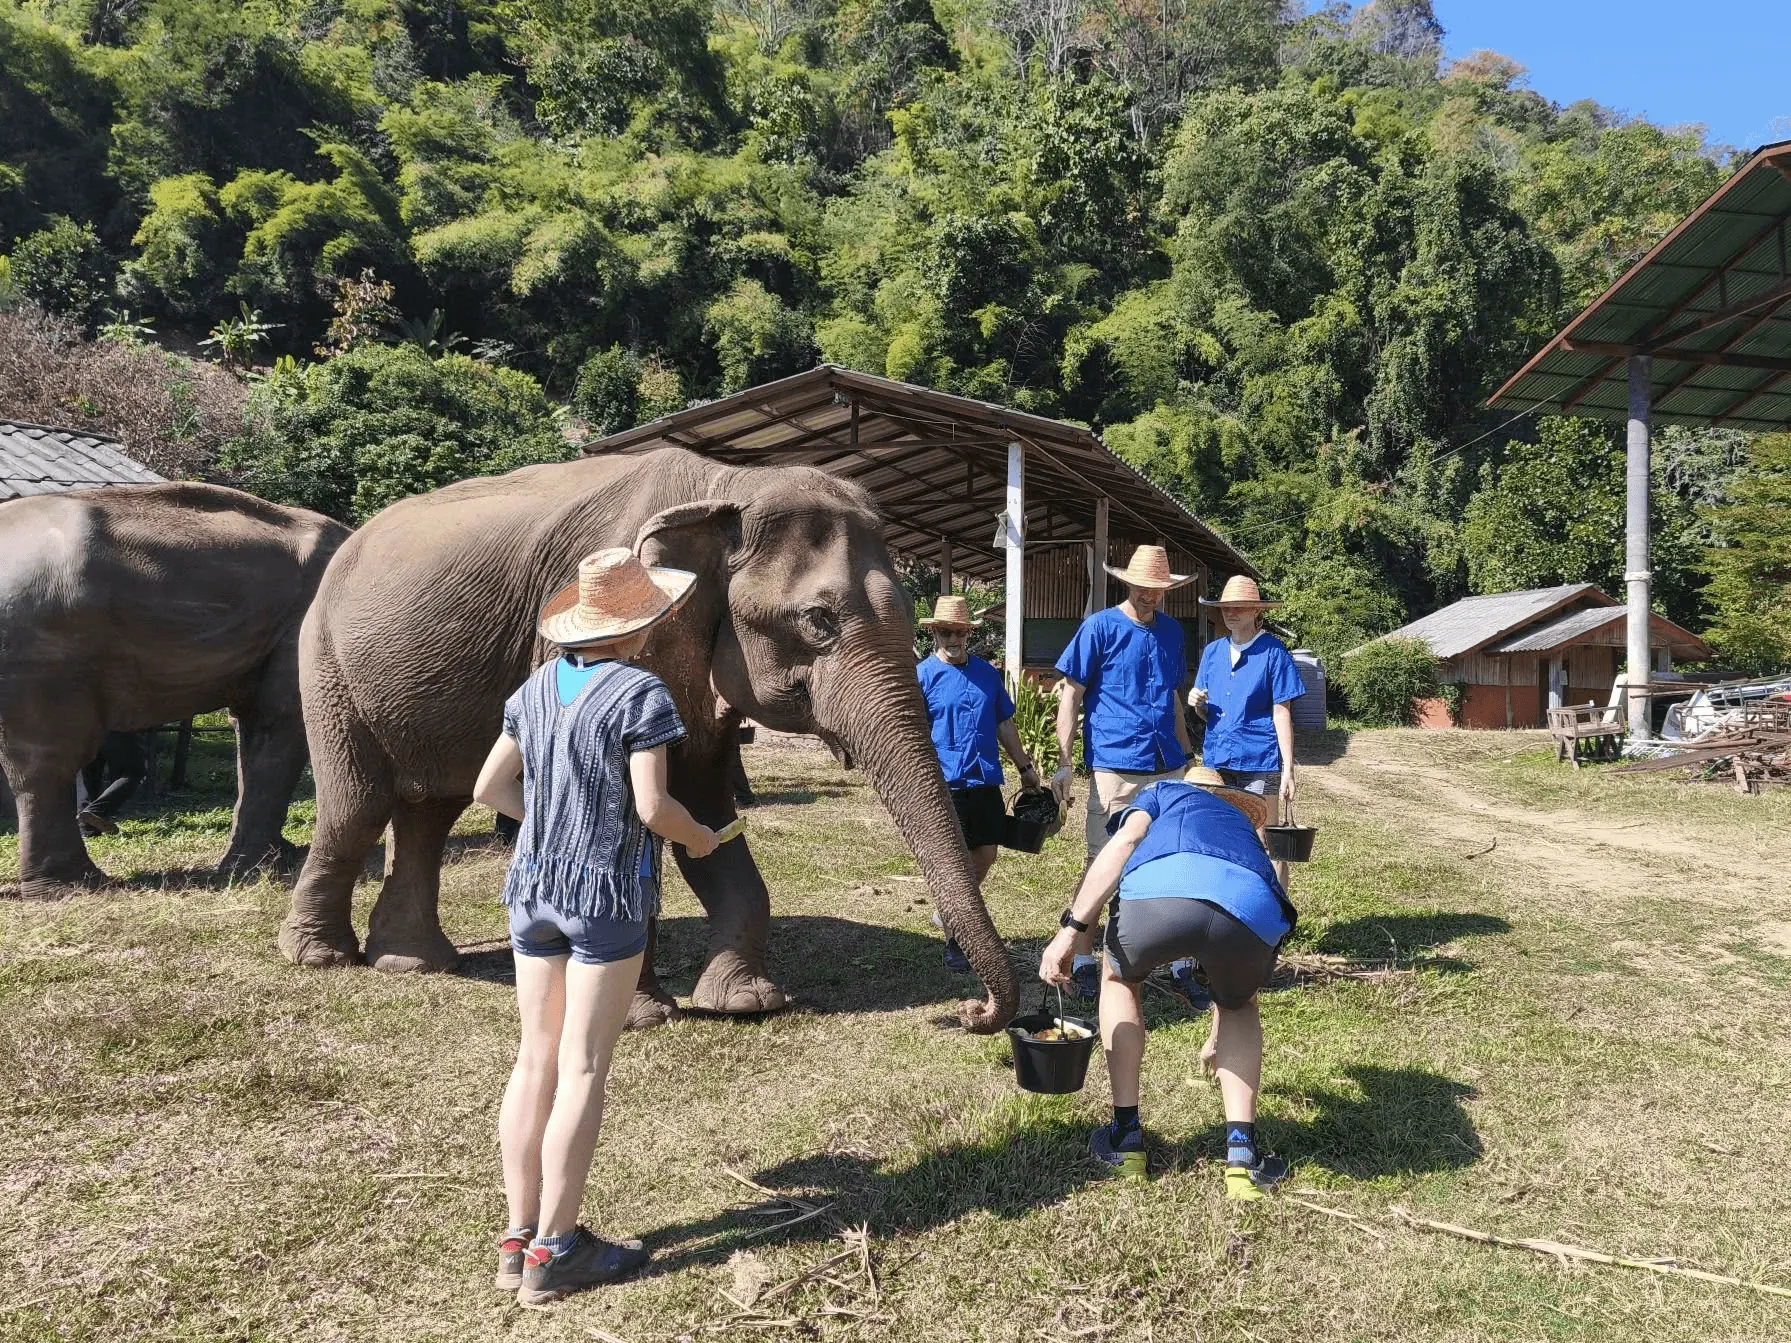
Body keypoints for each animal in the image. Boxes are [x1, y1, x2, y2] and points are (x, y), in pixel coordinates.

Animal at [0, 483, 350, 898]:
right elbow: (279, 720)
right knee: (51, 759)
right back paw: (76, 886)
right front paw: (264, 868)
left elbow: (252, 724)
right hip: (43, 656)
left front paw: (273, 859)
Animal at [277, 448, 1019, 1032]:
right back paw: (319, 957)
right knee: (358, 804)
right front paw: (638, 1015)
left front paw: (748, 1003)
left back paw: (412, 963)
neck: (727, 486)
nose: (971, 1013)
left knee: (429, 808)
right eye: (818, 620)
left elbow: (698, 800)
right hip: (324, 666)